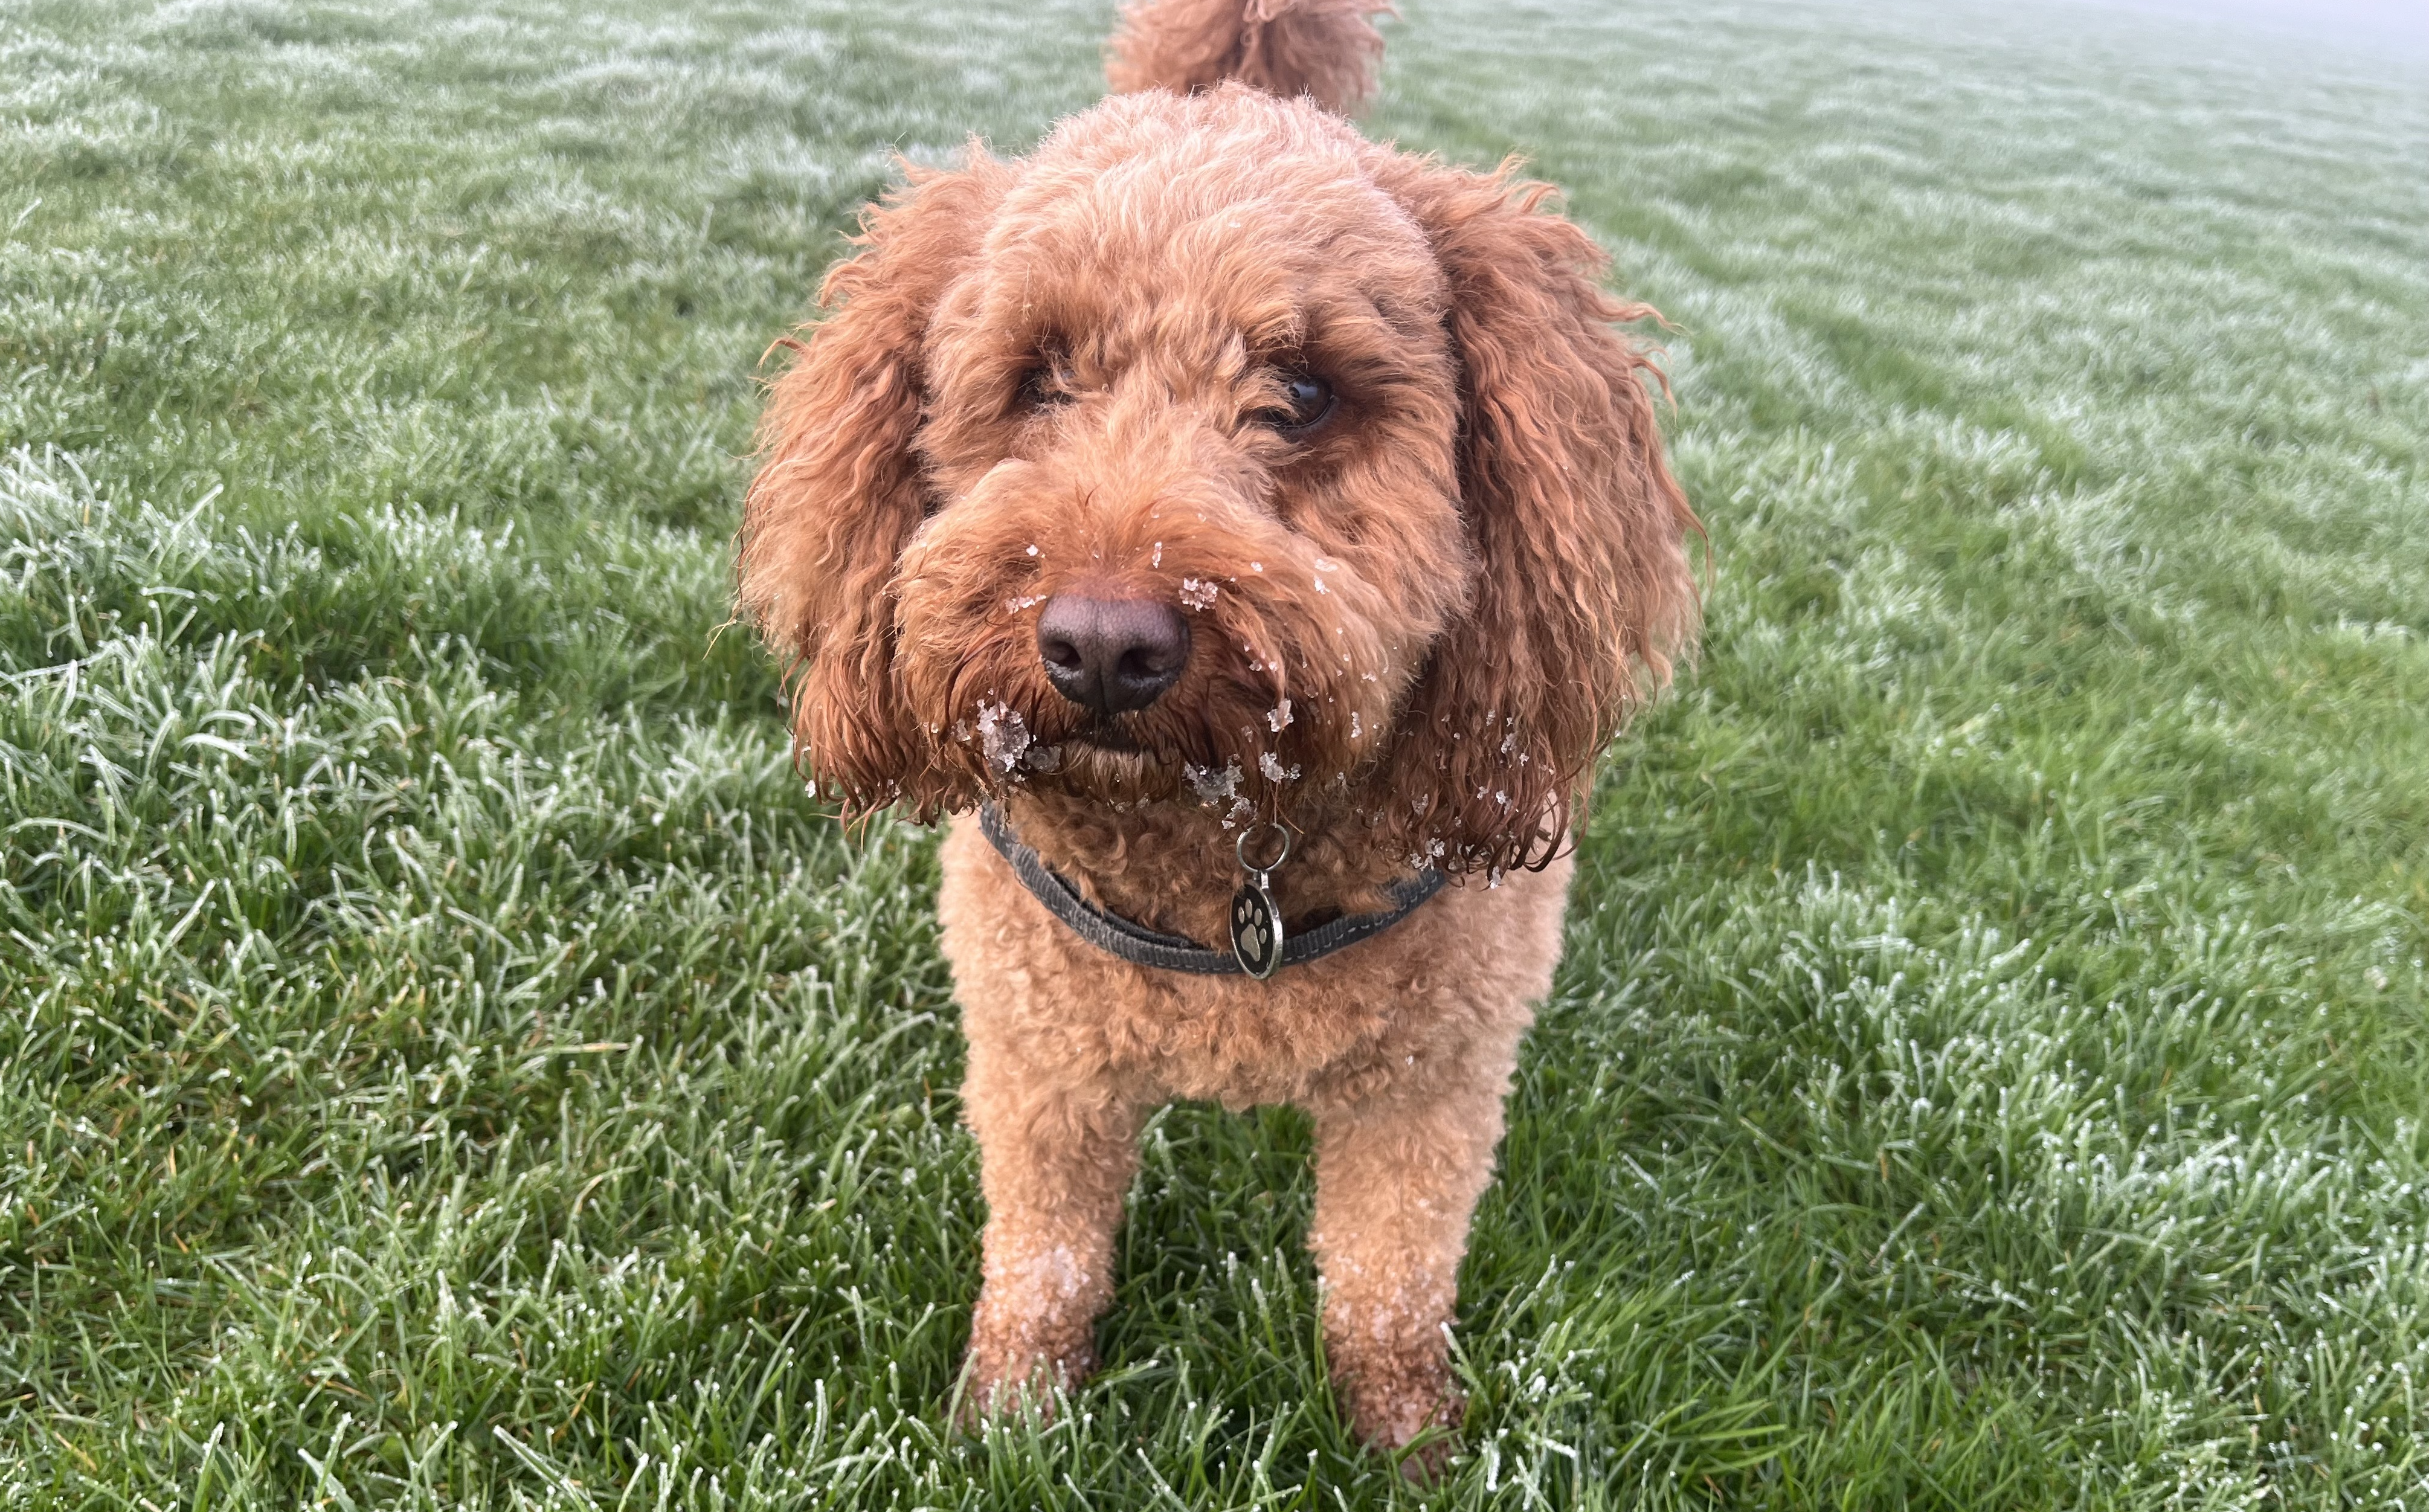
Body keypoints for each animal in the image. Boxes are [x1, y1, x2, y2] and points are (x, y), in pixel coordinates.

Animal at [729, 0, 1700, 1478]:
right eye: (1041, 377)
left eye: (1300, 393)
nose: (1102, 646)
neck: (1214, 842)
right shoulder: (1042, 1069)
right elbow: (1047, 1261)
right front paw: (1011, 1419)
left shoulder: (1428, 1091)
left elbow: (1385, 1283)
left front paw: (1407, 1444)